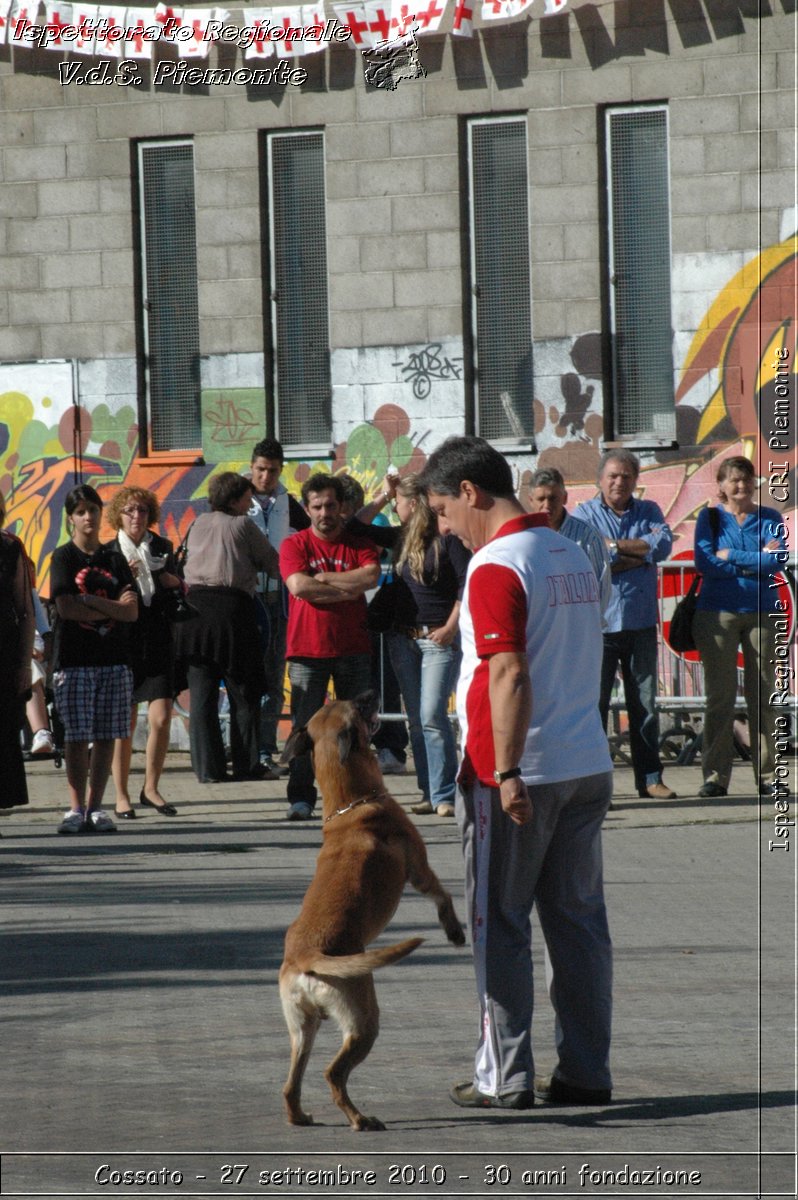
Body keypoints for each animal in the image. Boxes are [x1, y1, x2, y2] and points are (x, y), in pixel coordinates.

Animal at [278, 691, 468, 1128]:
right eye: (358, 706)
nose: (370, 693)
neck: (350, 805)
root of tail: (307, 957)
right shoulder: (420, 871)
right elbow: (443, 897)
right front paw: (454, 930)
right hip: (364, 1021)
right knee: (333, 1073)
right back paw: (360, 1119)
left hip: (302, 1030)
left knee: (291, 1085)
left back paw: (301, 1116)